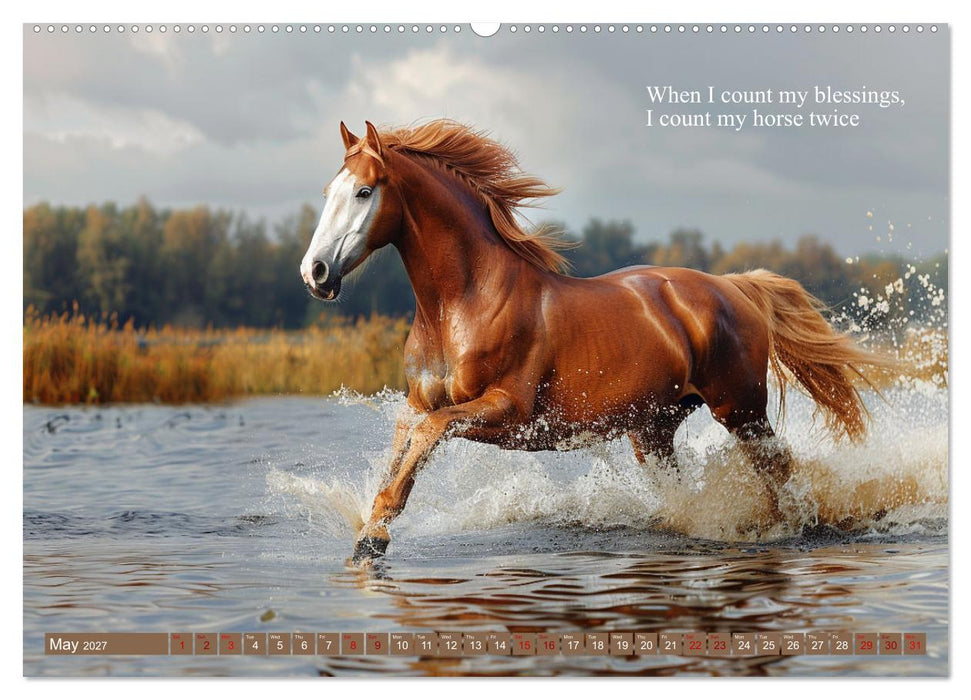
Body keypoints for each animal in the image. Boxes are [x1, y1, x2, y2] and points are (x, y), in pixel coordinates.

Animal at [299, 119, 887, 563]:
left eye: (364, 191)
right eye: (327, 192)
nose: (315, 272)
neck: (460, 305)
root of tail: (735, 285)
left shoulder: (508, 411)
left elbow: (428, 435)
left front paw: (375, 539)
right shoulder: (419, 401)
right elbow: (405, 442)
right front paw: (370, 532)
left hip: (740, 408)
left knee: (779, 467)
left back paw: (789, 526)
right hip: (653, 429)